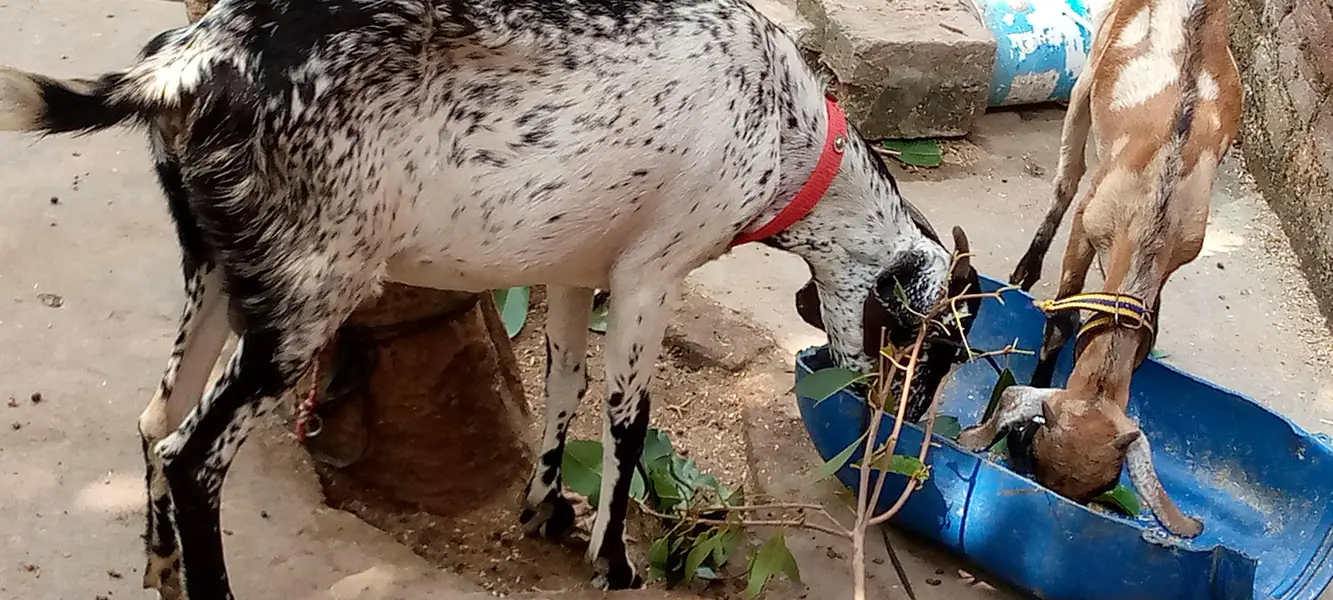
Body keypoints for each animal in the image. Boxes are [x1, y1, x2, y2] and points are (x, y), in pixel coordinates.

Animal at [0, 0, 979, 597]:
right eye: (931, 353)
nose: (900, 444)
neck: (786, 132)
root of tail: (189, 65)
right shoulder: (650, 274)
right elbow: (629, 418)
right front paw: (614, 562)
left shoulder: (575, 268)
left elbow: (563, 386)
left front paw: (546, 511)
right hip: (306, 289)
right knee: (188, 453)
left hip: (218, 267)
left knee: (151, 419)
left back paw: (162, 572)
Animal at [958, 0, 1242, 538]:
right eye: (1033, 451)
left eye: (1104, 486)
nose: (1019, 454)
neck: (1157, 204)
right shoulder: (1090, 222)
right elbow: (1063, 316)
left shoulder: (1180, 252)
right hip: (1087, 77)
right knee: (1066, 178)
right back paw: (1026, 267)